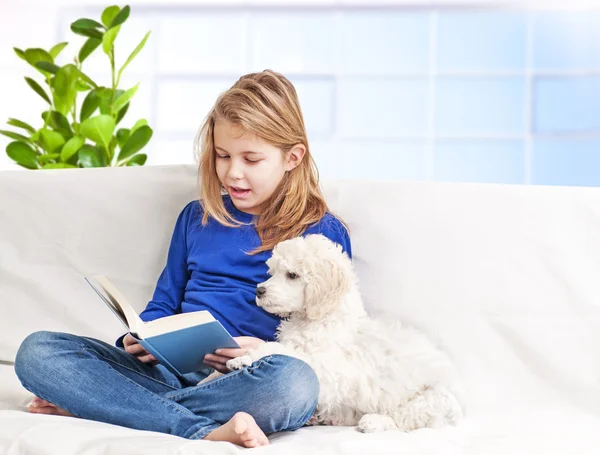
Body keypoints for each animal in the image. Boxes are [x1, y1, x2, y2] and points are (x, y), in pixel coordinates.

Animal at [218, 237, 466, 432]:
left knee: (404, 419)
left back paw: (373, 422)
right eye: (273, 272)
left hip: (430, 399)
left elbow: (284, 350)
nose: (259, 290)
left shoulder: (328, 370)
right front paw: (240, 359)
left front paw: (244, 356)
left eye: (292, 275)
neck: (320, 317)